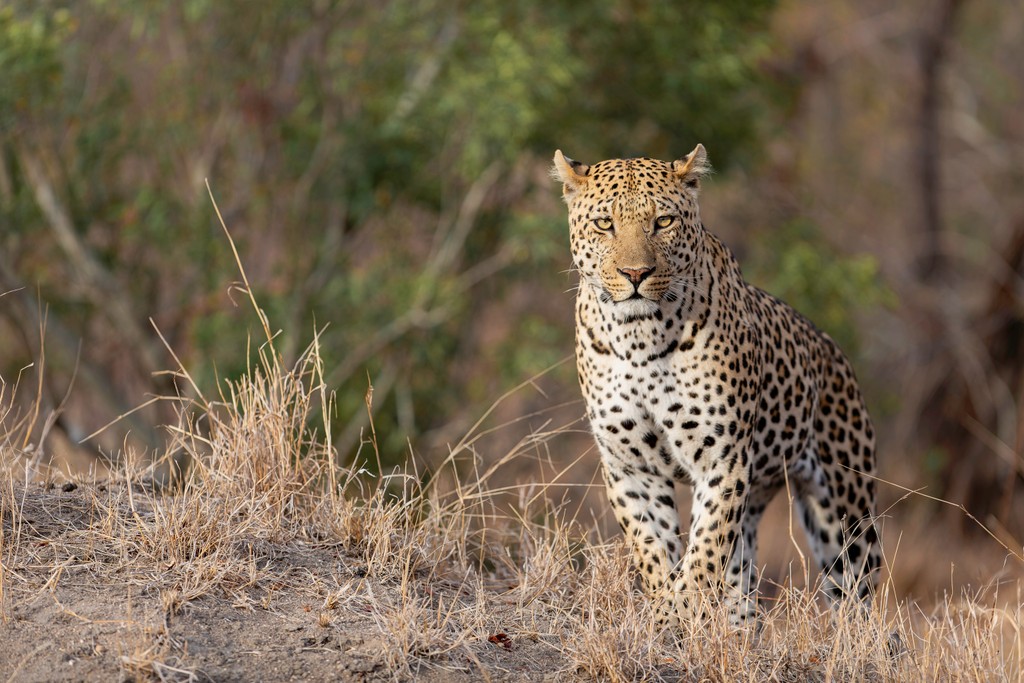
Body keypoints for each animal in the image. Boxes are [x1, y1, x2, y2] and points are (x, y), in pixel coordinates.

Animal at [552, 147, 880, 626]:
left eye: (663, 222)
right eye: (604, 223)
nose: (635, 273)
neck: (639, 337)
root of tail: (833, 350)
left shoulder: (722, 460)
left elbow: (704, 550)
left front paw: (682, 610)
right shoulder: (630, 466)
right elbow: (653, 549)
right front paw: (666, 614)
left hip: (845, 510)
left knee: (860, 599)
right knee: (744, 589)